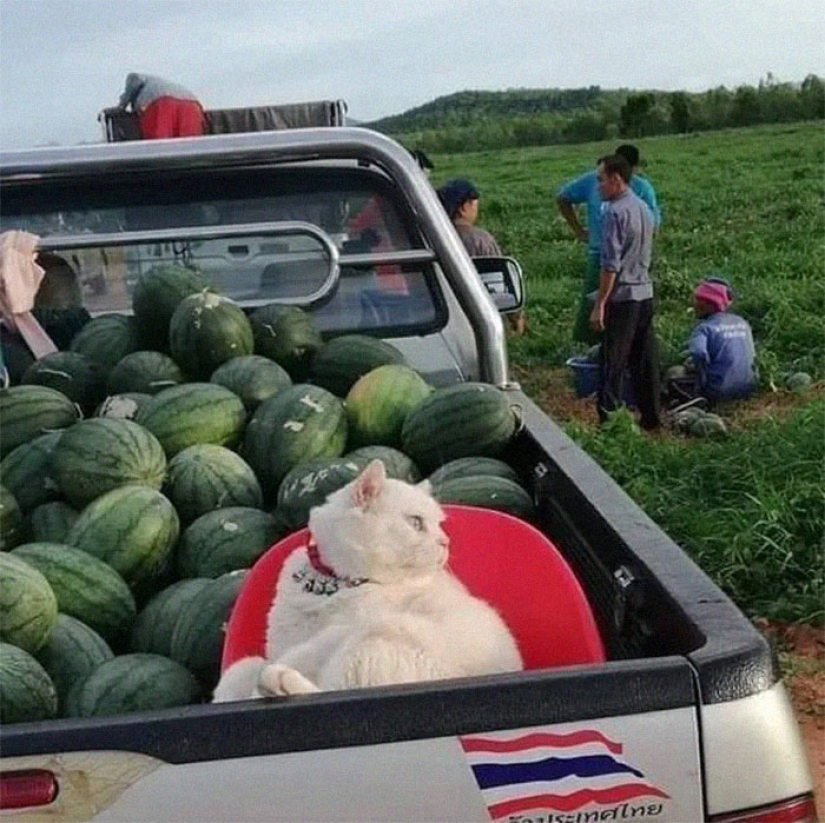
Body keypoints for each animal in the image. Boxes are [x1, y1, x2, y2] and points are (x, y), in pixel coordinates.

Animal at [212, 458, 520, 700]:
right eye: (416, 522)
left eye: (438, 524)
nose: (445, 542)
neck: (332, 585)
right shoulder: (280, 645)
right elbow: (242, 671)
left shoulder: (335, 634)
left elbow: (292, 658)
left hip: (380, 633)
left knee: (331, 691)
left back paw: (278, 682)